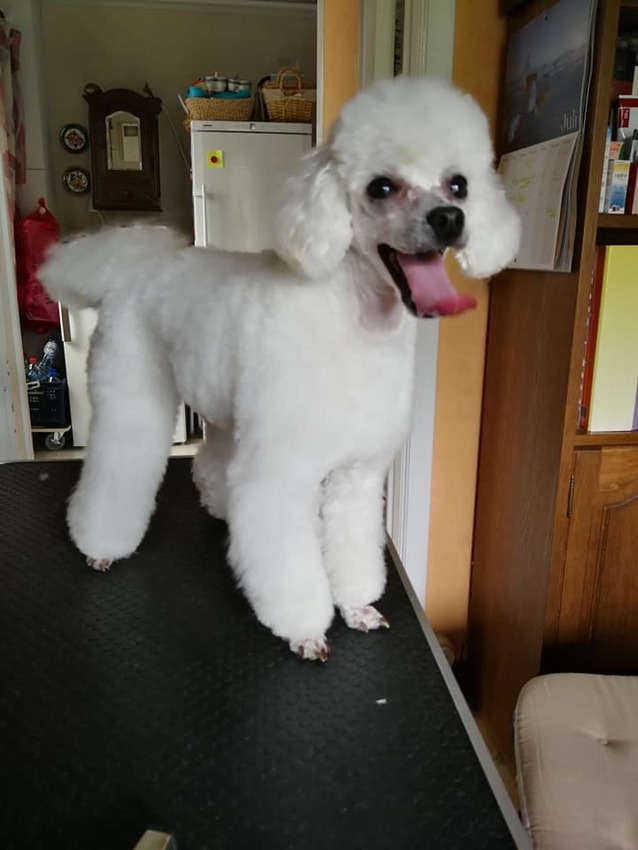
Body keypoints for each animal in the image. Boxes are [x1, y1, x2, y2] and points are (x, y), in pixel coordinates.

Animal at [41, 76, 520, 661]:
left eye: (458, 185)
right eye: (381, 187)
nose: (449, 219)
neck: (354, 323)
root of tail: (136, 261)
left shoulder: (357, 476)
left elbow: (351, 545)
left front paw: (356, 605)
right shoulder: (280, 473)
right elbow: (287, 561)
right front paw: (305, 628)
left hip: (224, 402)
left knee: (212, 459)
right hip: (133, 392)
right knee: (117, 462)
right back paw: (101, 543)